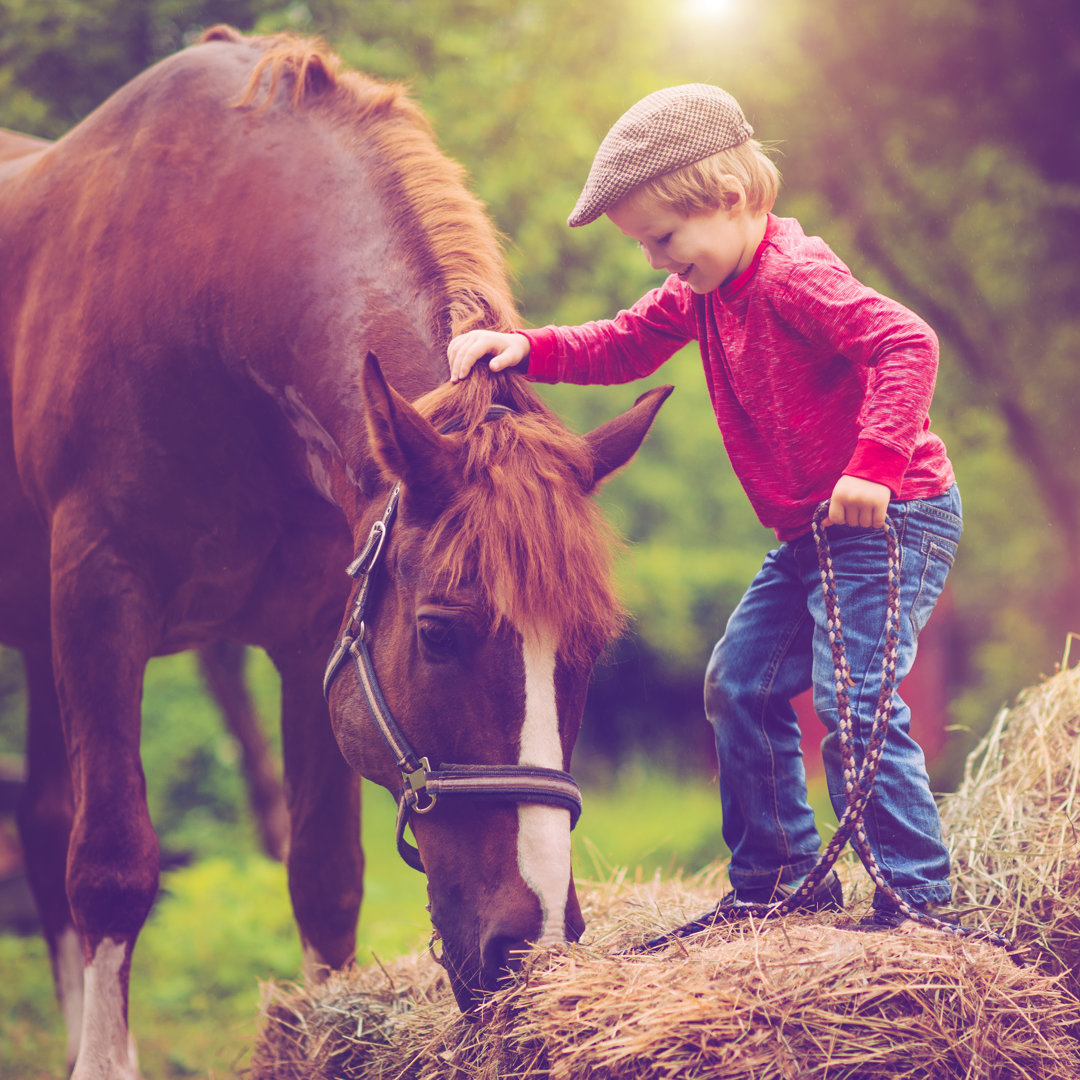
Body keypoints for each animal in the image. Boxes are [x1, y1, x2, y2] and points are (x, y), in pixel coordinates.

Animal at [0, 25, 669, 1080]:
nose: (529, 950)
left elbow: (323, 875)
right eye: (439, 634)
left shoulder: (316, 628)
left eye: (592, 650)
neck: (205, 278)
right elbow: (110, 864)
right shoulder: (99, 597)